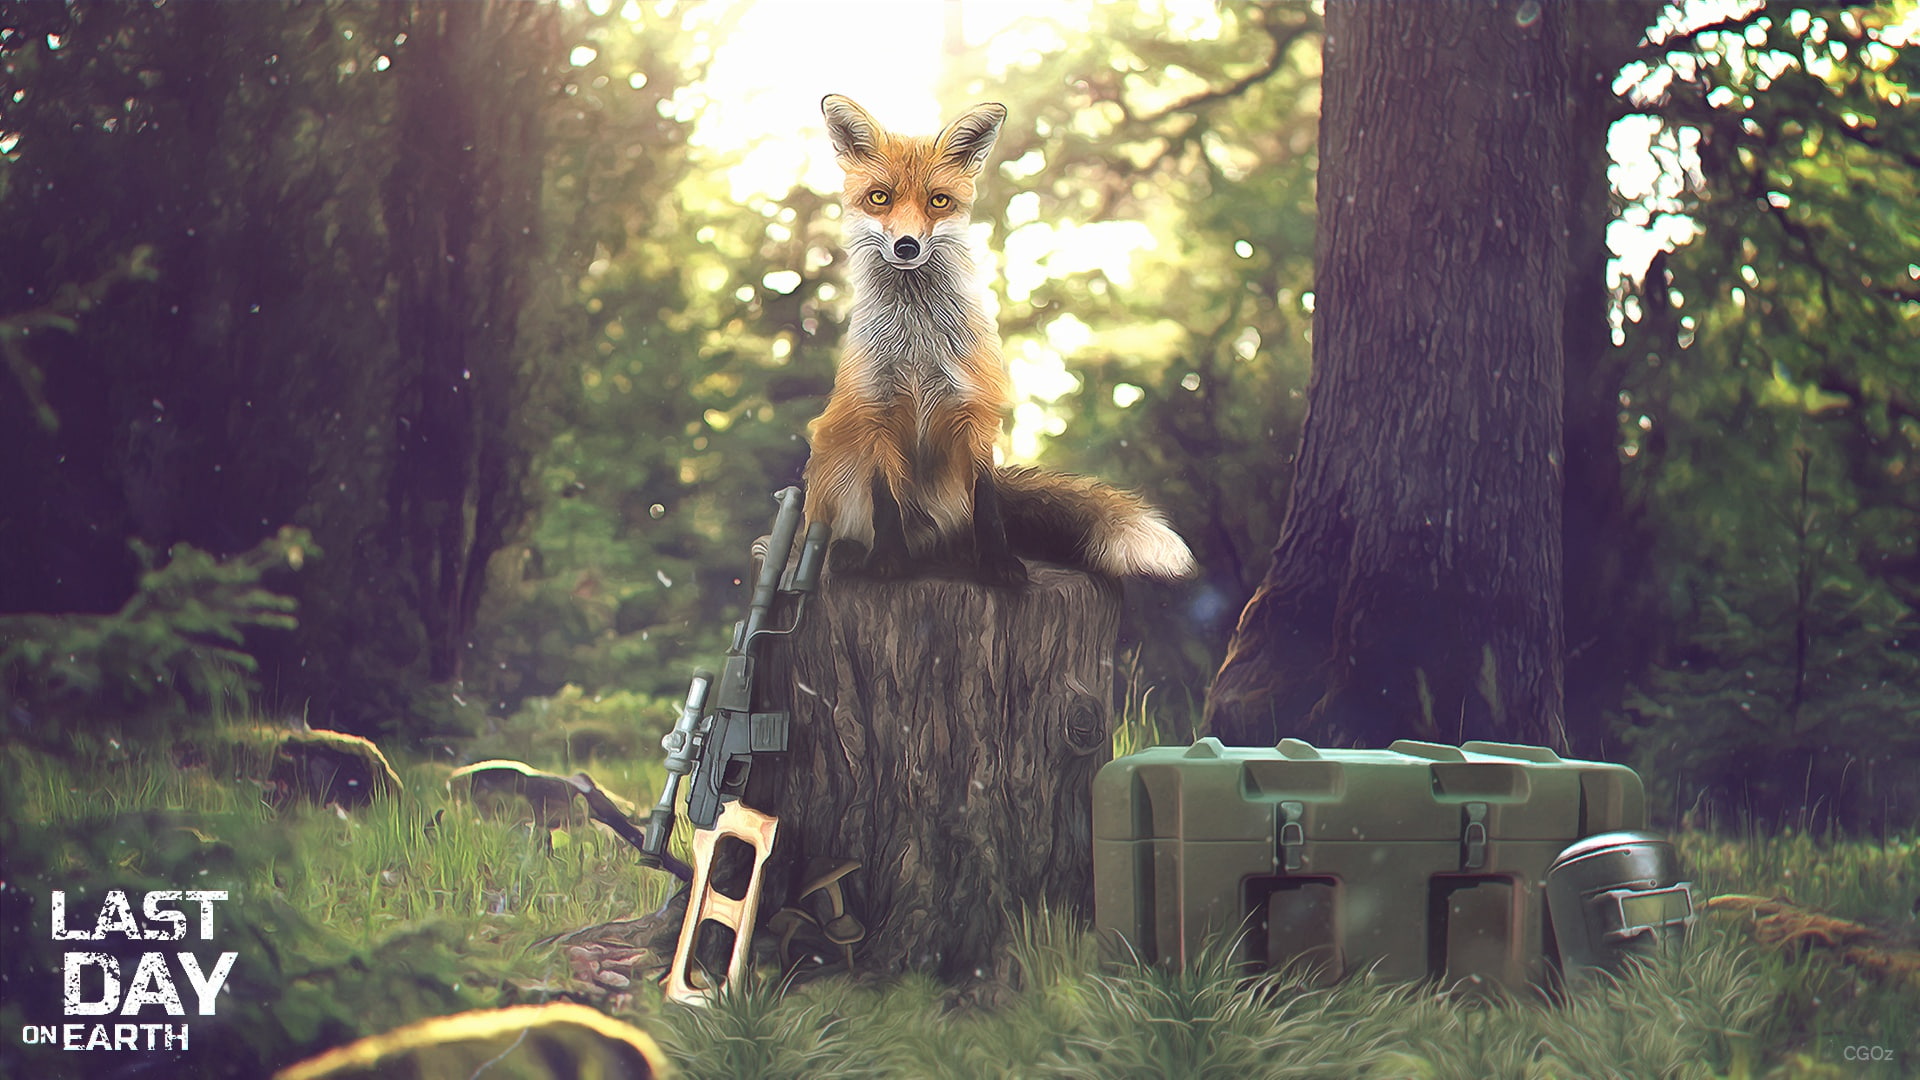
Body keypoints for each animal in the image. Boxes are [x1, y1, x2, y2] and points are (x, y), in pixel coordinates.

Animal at [803, 94, 1196, 586]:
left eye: (938, 201)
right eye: (880, 198)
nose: (907, 246)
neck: (917, 343)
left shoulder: (975, 410)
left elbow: (987, 502)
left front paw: (998, 564)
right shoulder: (876, 409)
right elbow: (885, 502)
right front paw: (888, 563)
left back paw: (955, 555)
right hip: (833, 460)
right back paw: (852, 553)